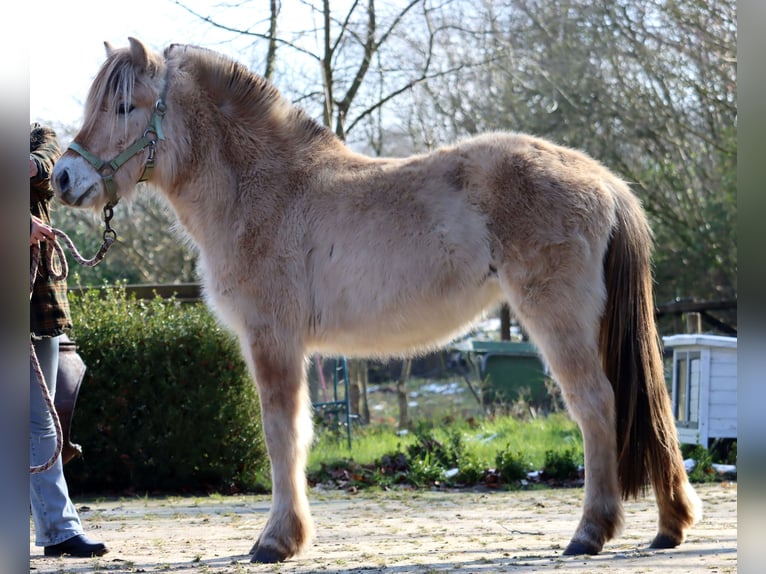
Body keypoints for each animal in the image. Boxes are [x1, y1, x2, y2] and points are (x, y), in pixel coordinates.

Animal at [52, 38, 704, 564]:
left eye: (124, 106)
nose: (61, 178)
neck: (263, 190)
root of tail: (604, 180)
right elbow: (300, 434)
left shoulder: (273, 340)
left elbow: (281, 434)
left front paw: (275, 541)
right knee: (648, 410)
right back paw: (668, 525)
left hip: (559, 320)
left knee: (597, 406)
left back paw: (590, 533)